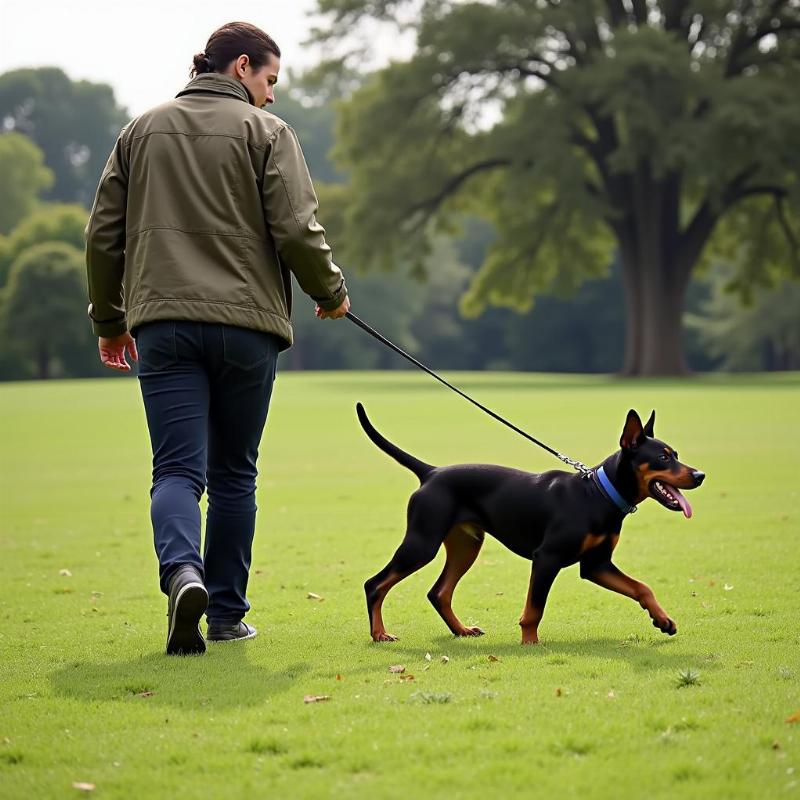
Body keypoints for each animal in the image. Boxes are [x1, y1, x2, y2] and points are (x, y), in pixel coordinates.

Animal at [360, 406, 704, 644]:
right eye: (663, 457)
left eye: (676, 454)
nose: (700, 475)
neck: (598, 495)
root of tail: (431, 473)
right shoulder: (547, 558)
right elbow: (534, 609)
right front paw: (530, 643)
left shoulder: (596, 565)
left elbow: (642, 587)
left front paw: (663, 621)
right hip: (423, 542)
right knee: (375, 584)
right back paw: (380, 634)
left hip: (466, 545)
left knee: (439, 592)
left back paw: (461, 630)